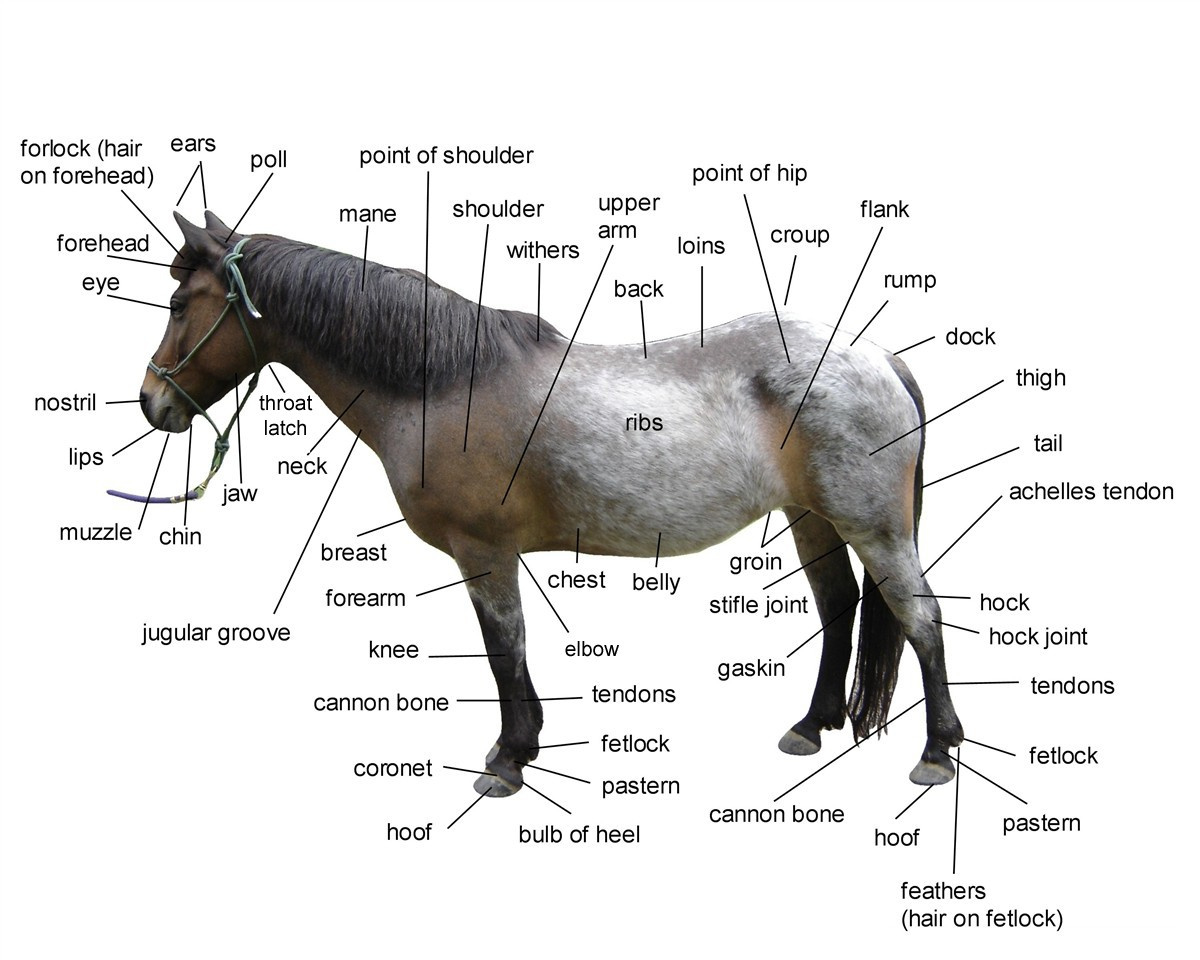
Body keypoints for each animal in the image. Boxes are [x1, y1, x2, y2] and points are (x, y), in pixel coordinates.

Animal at [136, 211, 964, 798]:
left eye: (178, 303)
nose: (152, 403)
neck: (445, 383)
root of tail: (877, 356)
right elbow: (513, 652)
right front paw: (521, 748)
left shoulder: (483, 553)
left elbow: (505, 650)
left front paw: (507, 761)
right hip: (811, 518)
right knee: (838, 607)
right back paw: (810, 727)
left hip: (874, 526)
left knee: (919, 617)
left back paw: (937, 752)